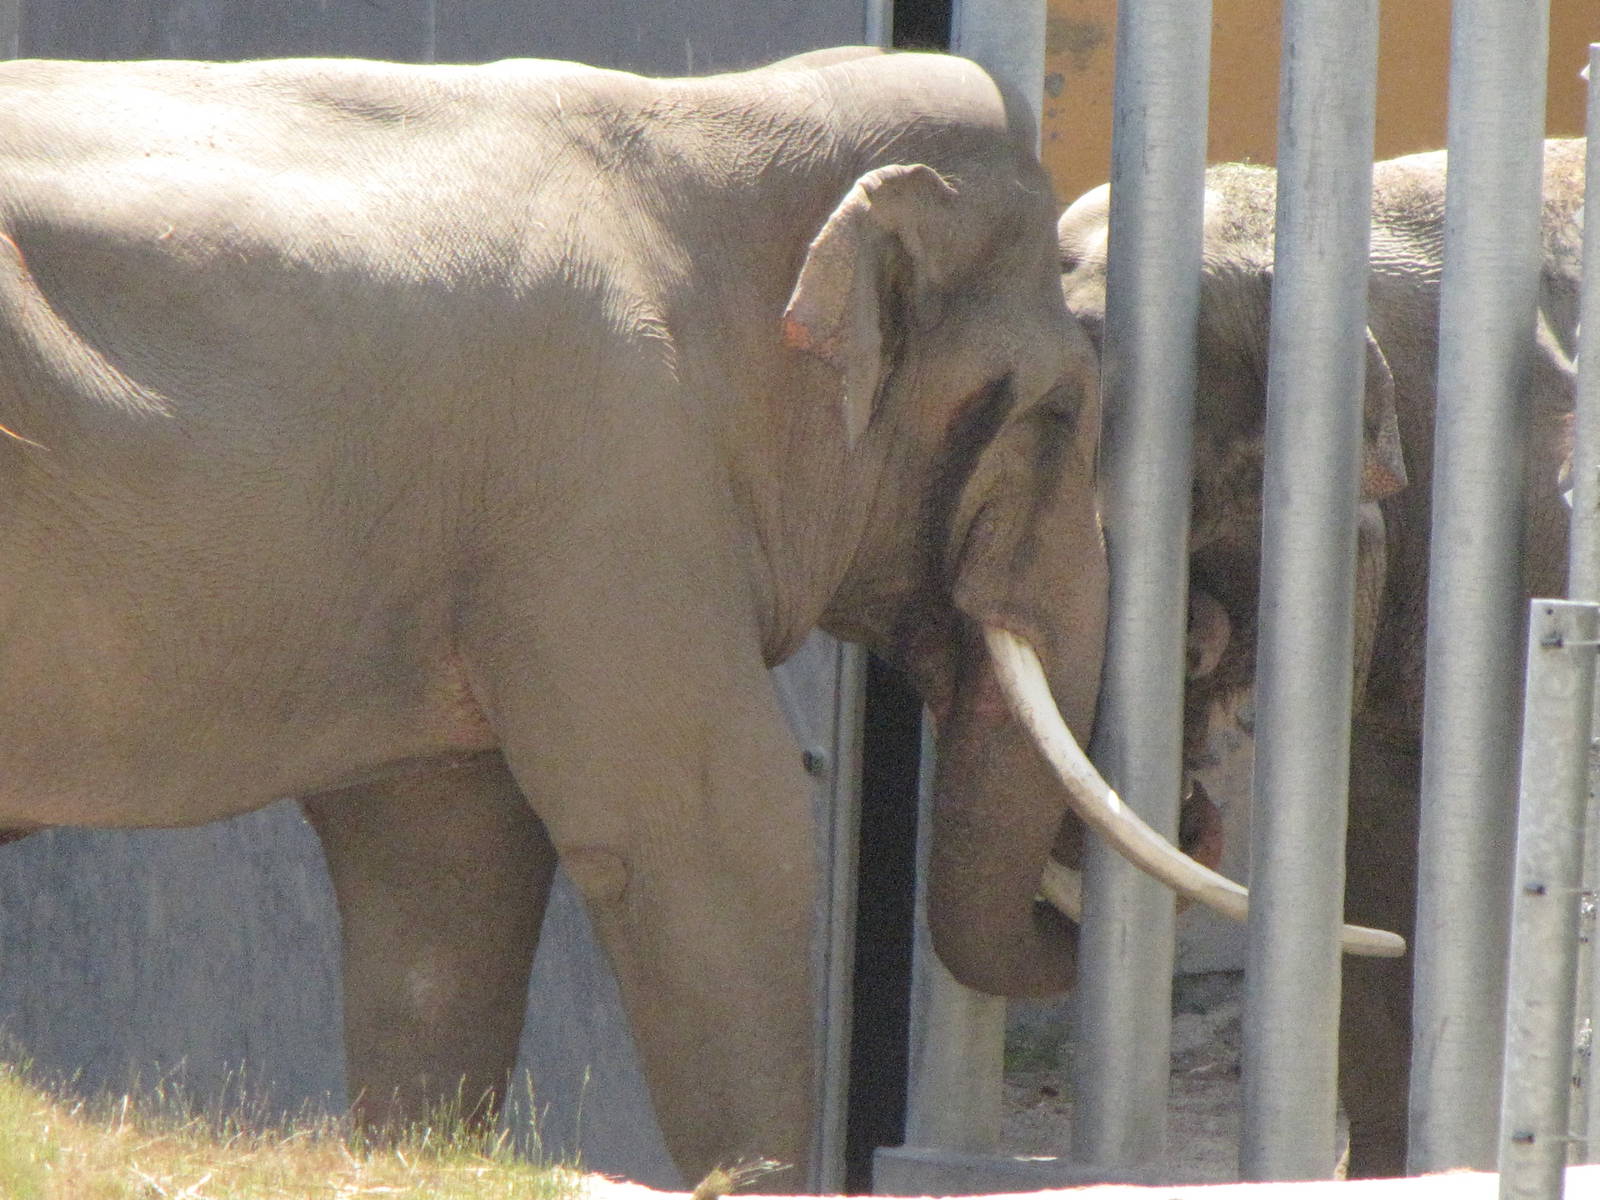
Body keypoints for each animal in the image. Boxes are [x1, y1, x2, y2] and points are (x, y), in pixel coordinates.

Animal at [0, 47, 1252, 1183]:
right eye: (1060, 410)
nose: (1202, 805)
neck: (714, 119)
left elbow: (443, 870)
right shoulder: (611, 469)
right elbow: (711, 838)